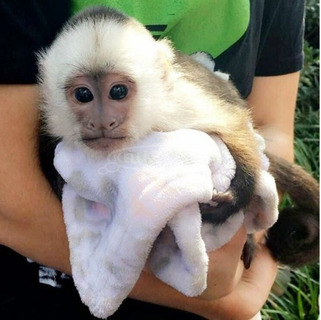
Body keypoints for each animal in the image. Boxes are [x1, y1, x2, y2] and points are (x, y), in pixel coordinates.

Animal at [37, 6, 318, 268]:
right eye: (83, 95)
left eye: (118, 91)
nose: (102, 121)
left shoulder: (176, 104)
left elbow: (235, 124)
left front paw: (237, 194)